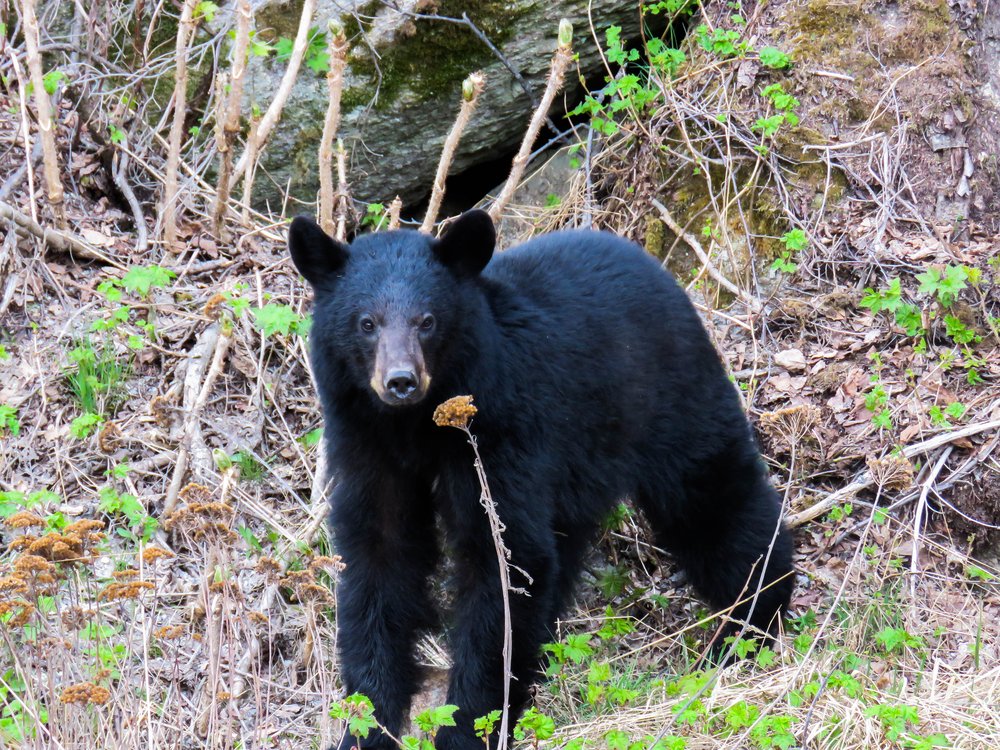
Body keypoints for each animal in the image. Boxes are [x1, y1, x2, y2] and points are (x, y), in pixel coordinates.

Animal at [288, 210, 788, 750]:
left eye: (427, 321)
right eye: (366, 323)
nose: (401, 380)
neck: (415, 427)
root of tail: (652, 265)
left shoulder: (501, 433)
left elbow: (506, 563)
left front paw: (469, 727)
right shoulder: (367, 445)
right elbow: (378, 559)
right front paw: (367, 725)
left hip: (668, 398)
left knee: (712, 500)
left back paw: (754, 619)